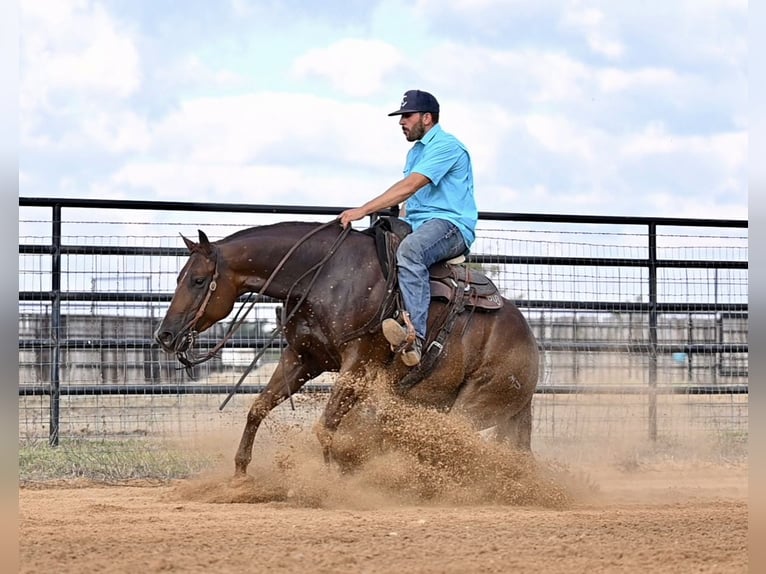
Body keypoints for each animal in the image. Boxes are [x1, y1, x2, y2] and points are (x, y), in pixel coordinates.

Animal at [156, 220, 540, 476]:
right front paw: (240, 473)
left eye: (198, 280)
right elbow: (259, 407)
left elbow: (325, 428)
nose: (164, 335)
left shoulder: (358, 364)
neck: (323, 276)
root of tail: (531, 346)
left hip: (476, 404)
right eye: (178, 277)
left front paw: (331, 479)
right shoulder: (303, 357)